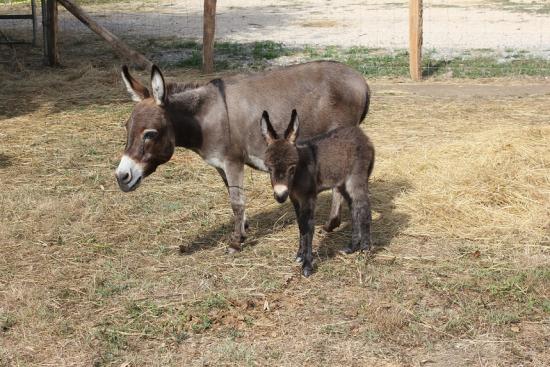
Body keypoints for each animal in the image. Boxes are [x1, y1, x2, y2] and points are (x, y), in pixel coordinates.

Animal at [262, 110, 376, 278]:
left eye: (292, 168)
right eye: (269, 168)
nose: (280, 196)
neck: (298, 175)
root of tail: (362, 135)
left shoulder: (308, 198)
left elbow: (308, 227)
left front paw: (307, 265)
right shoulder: (295, 199)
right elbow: (300, 225)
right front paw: (300, 255)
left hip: (356, 180)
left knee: (364, 209)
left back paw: (365, 251)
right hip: (342, 184)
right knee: (354, 209)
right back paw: (351, 247)